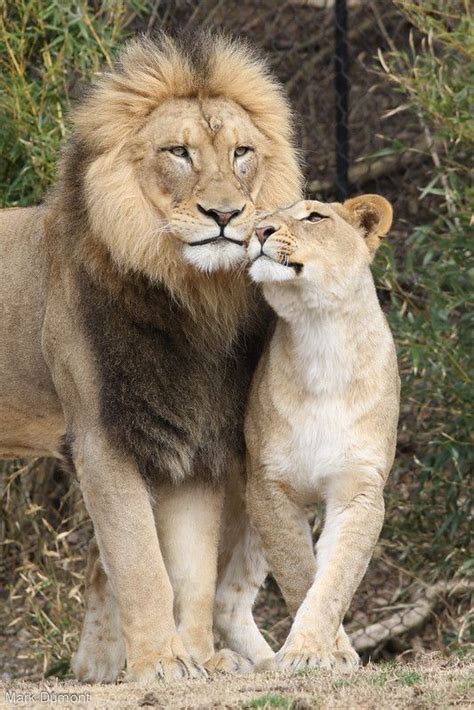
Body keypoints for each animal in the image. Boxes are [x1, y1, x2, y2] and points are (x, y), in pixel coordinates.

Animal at [0, 33, 302, 684]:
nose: (225, 214)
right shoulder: (101, 438)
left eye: (241, 152)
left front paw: (197, 658)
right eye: (178, 153)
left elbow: (190, 572)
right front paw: (160, 664)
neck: (188, 298)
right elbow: (141, 565)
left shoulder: (195, 440)